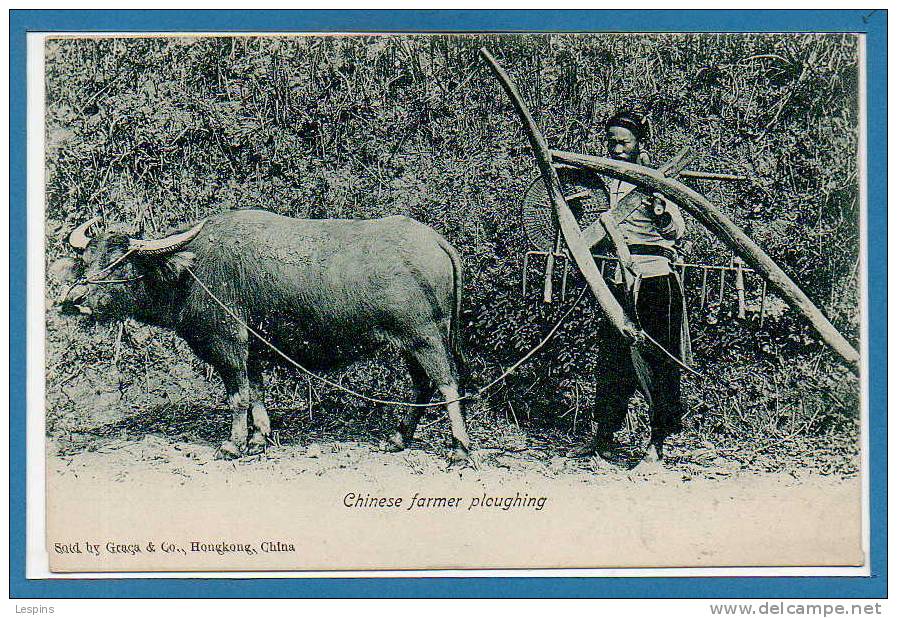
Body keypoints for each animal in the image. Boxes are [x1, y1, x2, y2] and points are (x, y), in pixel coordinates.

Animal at [58, 209, 472, 460]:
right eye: (86, 259)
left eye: (120, 262)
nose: (73, 300)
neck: (191, 272)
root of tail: (436, 241)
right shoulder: (252, 350)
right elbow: (256, 393)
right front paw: (260, 439)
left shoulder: (228, 344)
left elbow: (237, 396)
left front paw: (233, 444)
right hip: (411, 344)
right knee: (423, 385)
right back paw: (399, 438)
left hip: (424, 337)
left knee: (448, 383)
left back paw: (460, 448)